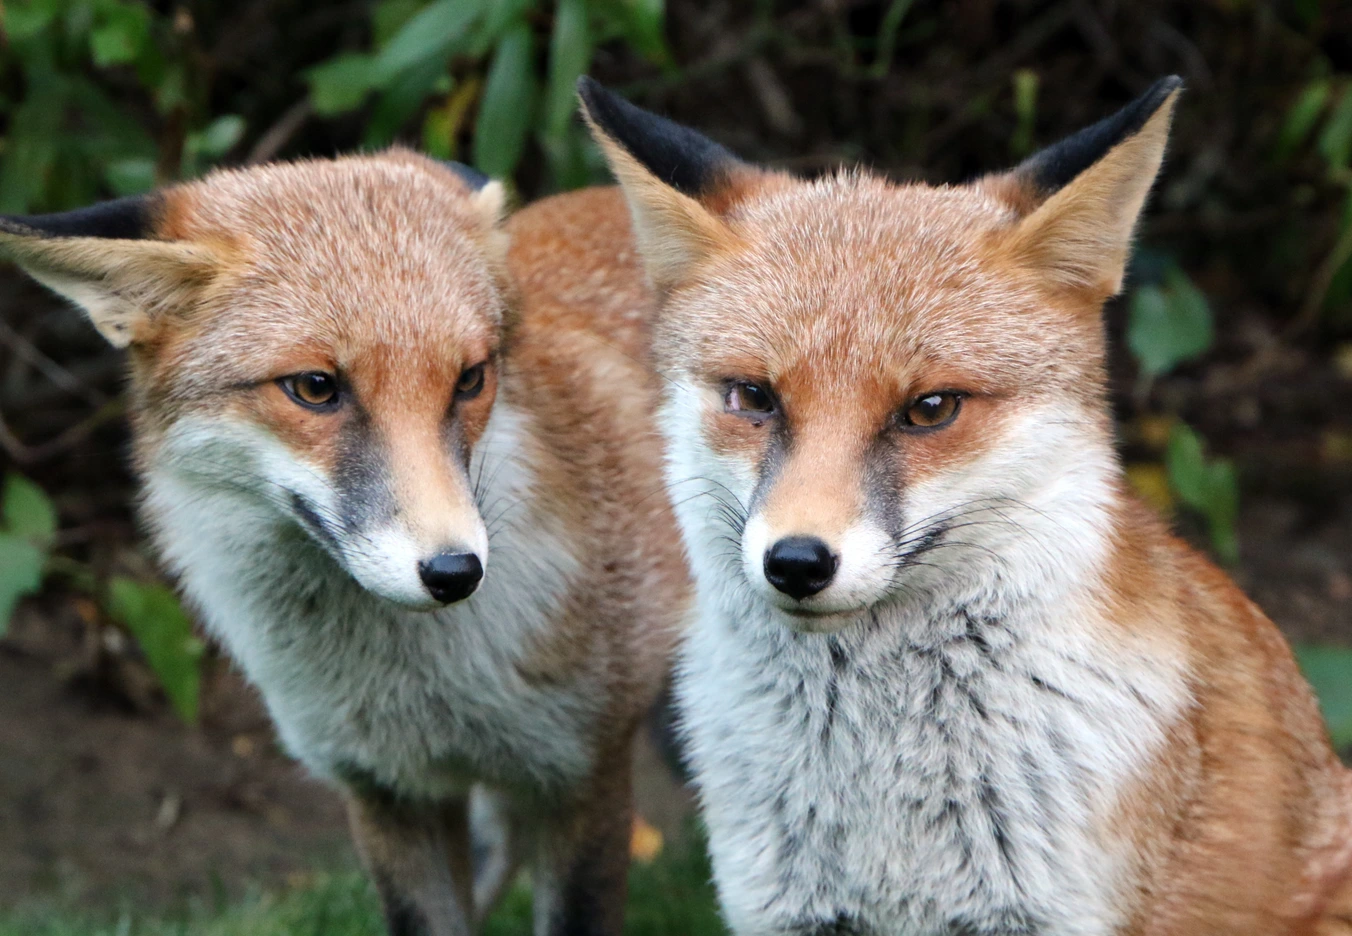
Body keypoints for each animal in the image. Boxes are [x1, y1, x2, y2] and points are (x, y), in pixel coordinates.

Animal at [0, 151, 688, 936]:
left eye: (471, 378)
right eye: (314, 387)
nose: (455, 572)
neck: (420, 689)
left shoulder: (585, 772)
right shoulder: (388, 788)